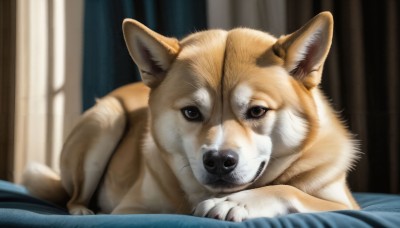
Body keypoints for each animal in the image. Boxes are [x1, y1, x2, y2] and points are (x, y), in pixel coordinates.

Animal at [21, 11, 360, 222]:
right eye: (191, 112)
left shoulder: (345, 205)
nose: (220, 160)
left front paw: (236, 203)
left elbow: (289, 189)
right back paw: (82, 210)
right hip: (106, 120)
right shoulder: (131, 209)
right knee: (73, 196)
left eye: (256, 111)